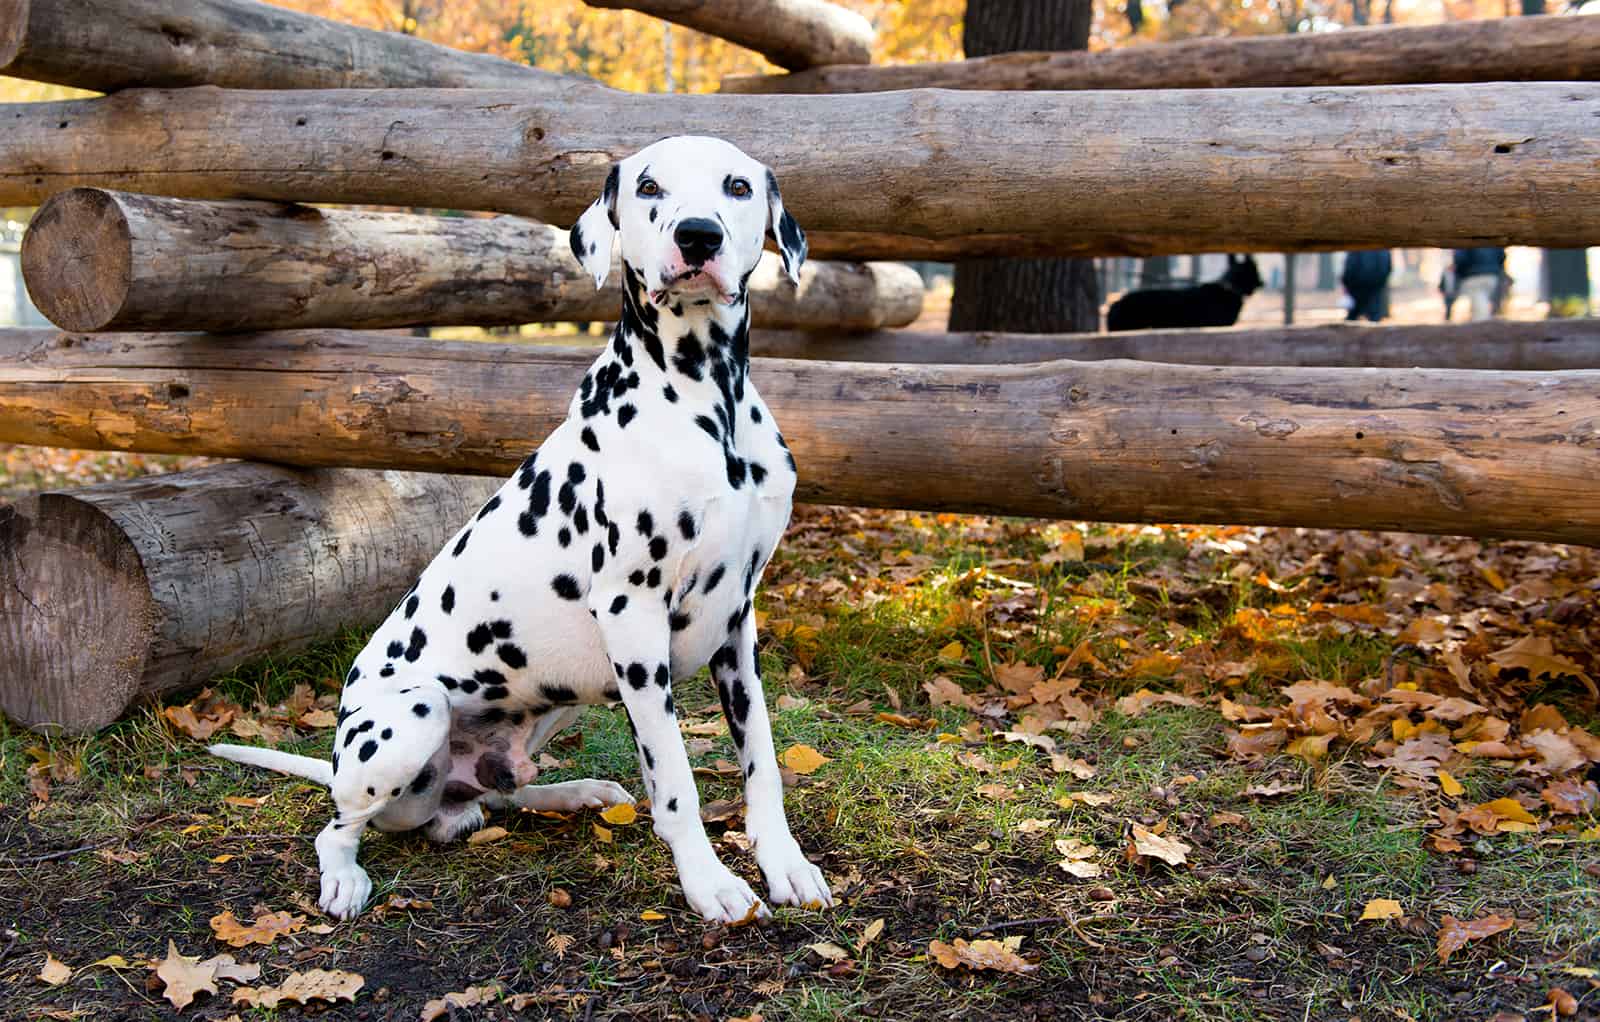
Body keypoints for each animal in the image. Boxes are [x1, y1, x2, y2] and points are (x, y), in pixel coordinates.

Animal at [209, 135, 838, 927]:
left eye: (737, 186)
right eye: (650, 186)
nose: (699, 237)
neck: (708, 402)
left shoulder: (738, 622)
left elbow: (761, 762)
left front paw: (785, 865)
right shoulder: (633, 616)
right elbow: (676, 783)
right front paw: (710, 882)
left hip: (556, 699)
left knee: (499, 790)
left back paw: (573, 793)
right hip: (411, 716)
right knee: (338, 826)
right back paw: (346, 876)